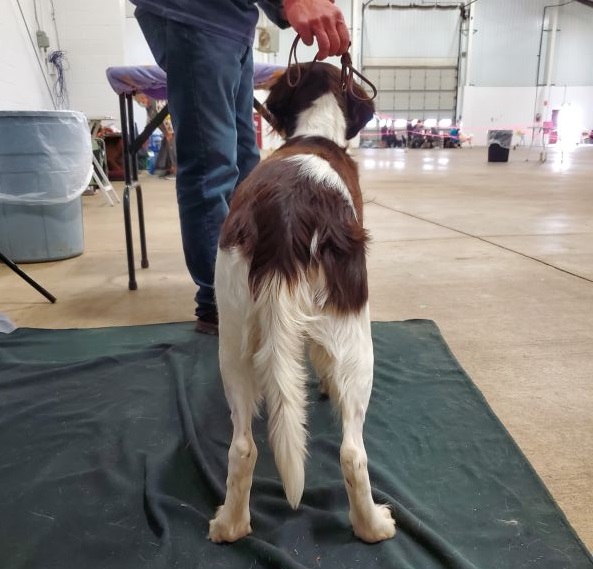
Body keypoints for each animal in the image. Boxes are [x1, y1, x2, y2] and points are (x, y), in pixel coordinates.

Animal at [208, 61, 396, 544]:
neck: (316, 133)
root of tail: (288, 213)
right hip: (359, 339)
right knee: (353, 451)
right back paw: (372, 526)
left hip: (233, 335)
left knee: (242, 446)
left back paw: (230, 525)